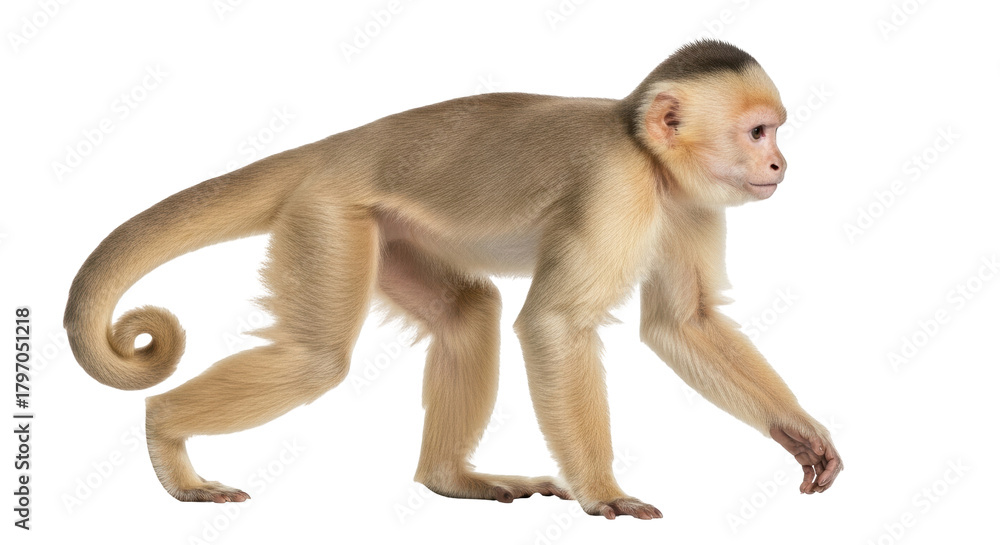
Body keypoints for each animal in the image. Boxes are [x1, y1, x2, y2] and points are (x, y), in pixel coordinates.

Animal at [64, 39, 842, 519]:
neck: (648, 157)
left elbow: (685, 323)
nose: (780, 165)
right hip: (329, 215)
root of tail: (335, 148)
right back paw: (166, 434)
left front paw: (799, 432)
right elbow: (554, 325)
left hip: (383, 233)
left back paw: (451, 478)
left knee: (469, 309)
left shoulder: (691, 203)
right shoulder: (616, 188)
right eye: (758, 133)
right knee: (315, 360)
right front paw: (602, 492)